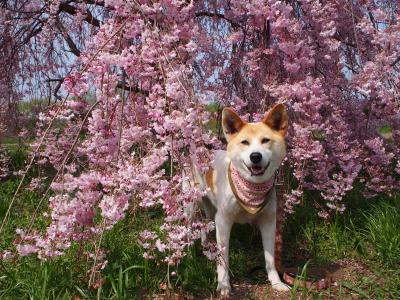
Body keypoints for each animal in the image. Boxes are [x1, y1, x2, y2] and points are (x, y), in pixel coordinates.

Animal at [192, 104, 290, 296]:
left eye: (265, 140)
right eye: (244, 142)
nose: (255, 156)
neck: (252, 187)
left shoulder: (268, 222)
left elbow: (270, 259)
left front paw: (276, 282)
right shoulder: (223, 221)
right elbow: (223, 259)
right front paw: (224, 284)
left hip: (210, 210)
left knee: (204, 224)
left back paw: (205, 243)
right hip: (191, 204)